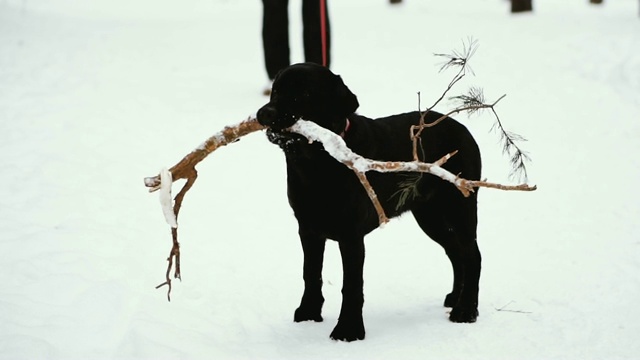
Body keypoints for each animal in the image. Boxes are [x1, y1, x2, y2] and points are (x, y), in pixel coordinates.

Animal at [255, 63, 480, 342]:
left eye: (305, 93)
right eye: (276, 90)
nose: (265, 113)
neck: (317, 162)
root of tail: (463, 129)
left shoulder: (350, 235)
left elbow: (351, 285)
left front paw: (348, 330)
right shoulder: (308, 228)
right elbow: (311, 273)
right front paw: (308, 313)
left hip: (460, 209)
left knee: (472, 256)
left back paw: (466, 311)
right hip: (431, 217)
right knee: (456, 253)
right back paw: (455, 299)